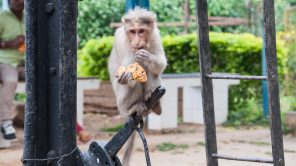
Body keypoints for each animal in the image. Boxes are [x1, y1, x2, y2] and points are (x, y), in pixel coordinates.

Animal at [107, 7, 166, 165]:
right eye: (132, 31)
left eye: (141, 31)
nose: (137, 41)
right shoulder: (121, 40)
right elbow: (130, 70)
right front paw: (127, 75)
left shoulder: (155, 35)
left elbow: (160, 64)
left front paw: (148, 57)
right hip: (121, 104)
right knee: (133, 84)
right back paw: (133, 109)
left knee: (150, 71)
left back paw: (154, 103)